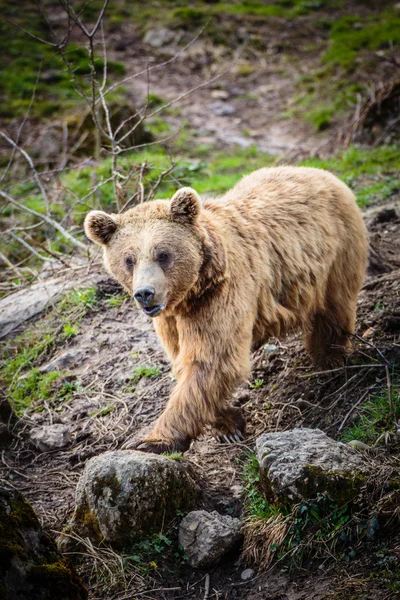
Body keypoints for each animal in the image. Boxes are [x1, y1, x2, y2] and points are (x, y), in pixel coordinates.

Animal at [84, 166, 368, 452]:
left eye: (162, 254)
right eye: (129, 259)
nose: (145, 294)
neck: (192, 290)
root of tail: (318, 172)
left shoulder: (220, 296)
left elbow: (213, 359)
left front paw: (152, 440)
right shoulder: (171, 320)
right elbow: (190, 365)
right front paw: (228, 425)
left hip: (335, 254)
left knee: (333, 310)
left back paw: (331, 361)